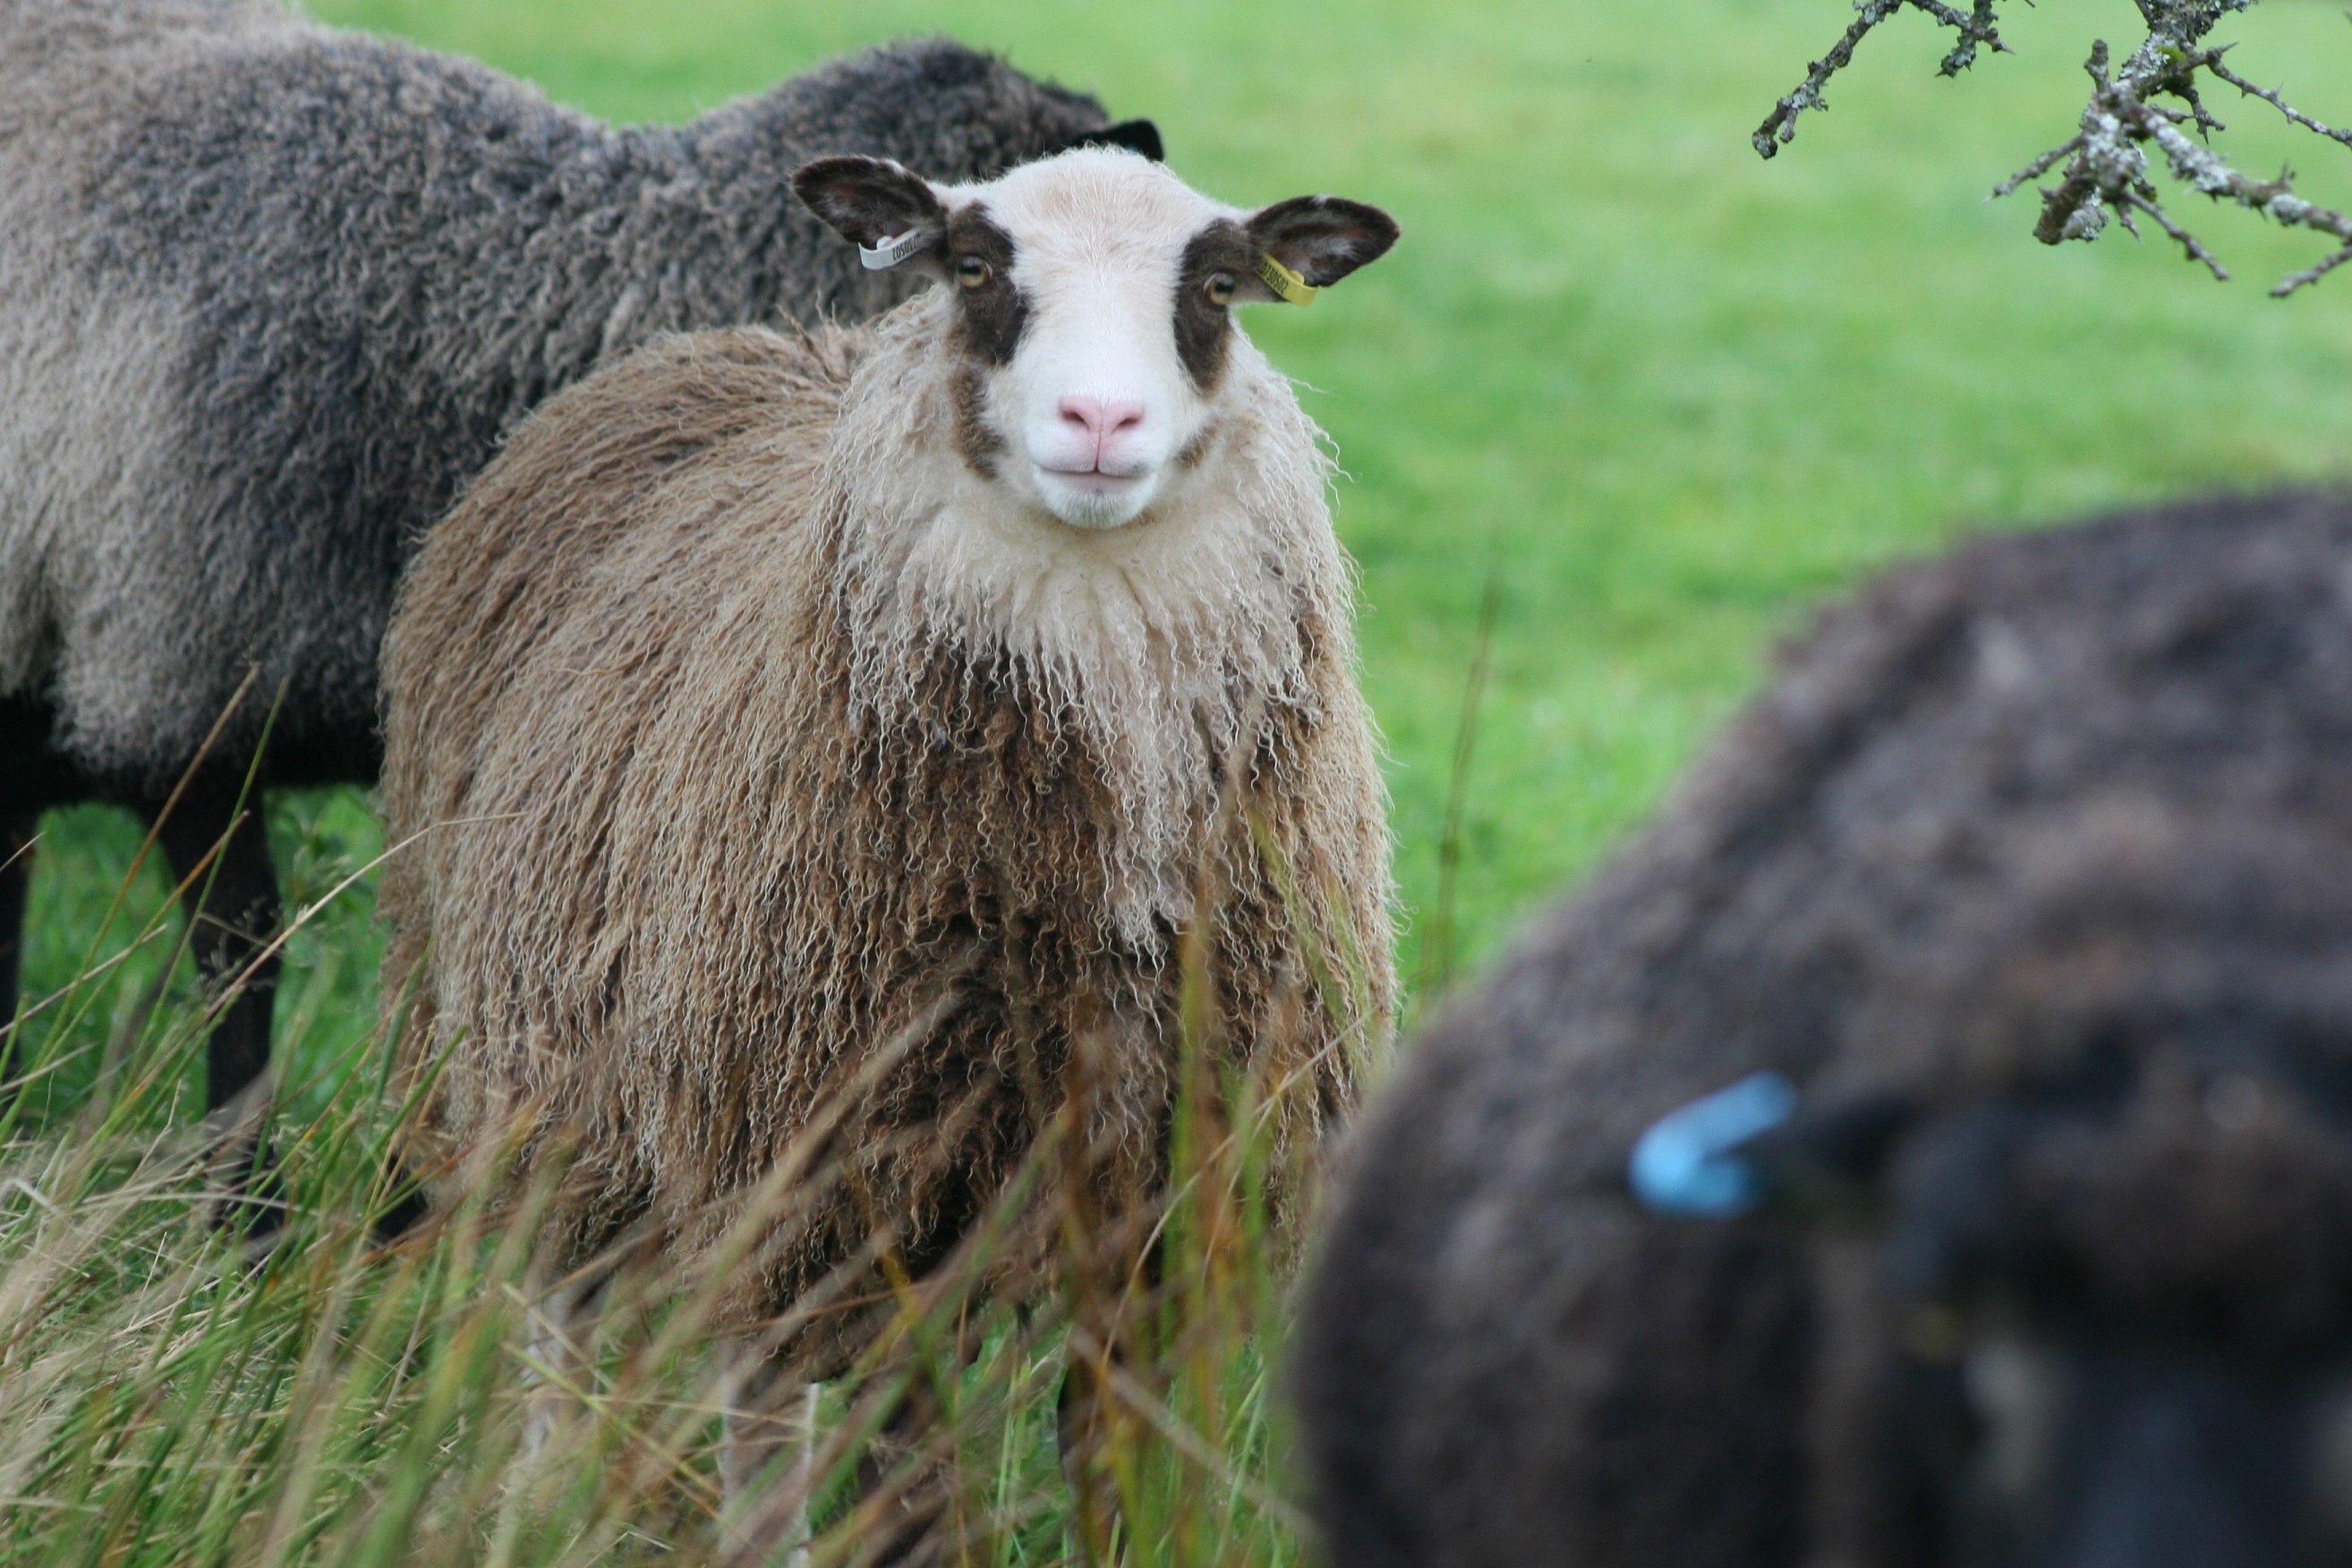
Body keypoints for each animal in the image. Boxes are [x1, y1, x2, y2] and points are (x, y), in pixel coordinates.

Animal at [371, 141, 1392, 1542]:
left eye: (1221, 285)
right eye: (973, 267)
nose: (1101, 424)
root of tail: (751, 338)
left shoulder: (1159, 1210)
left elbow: (1117, 1478)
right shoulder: (843, 1179)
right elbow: (876, 1485)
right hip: (552, 1066)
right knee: (571, 1324)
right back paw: (543, 1502)